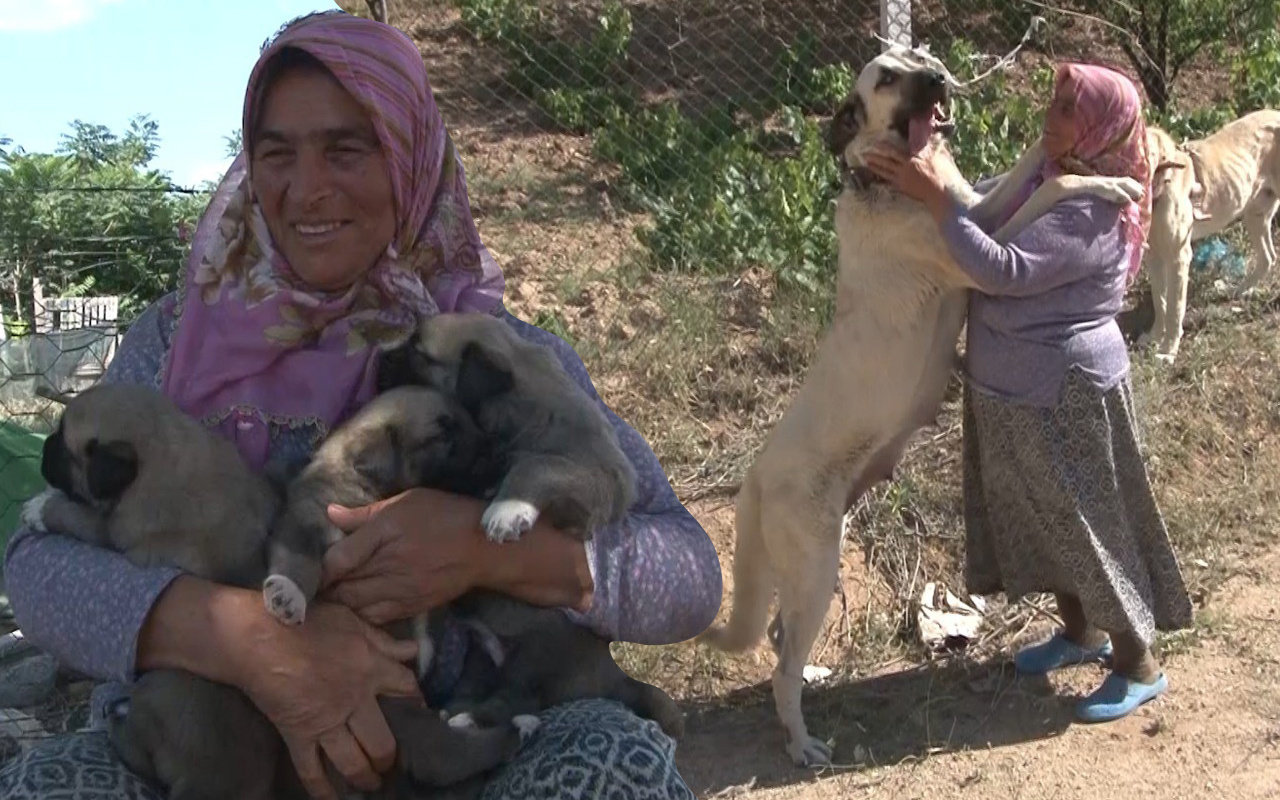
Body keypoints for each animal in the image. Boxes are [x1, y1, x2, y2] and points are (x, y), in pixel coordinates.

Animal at [1141, 110, 1280, 360]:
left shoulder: (1178, 257)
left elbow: (1175, 307)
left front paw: (1168, 351)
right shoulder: (1154, 256)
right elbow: (1160, 300)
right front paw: (1154, 337)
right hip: (1255, 214)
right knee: (1268, 257)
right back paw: (1241, 290)